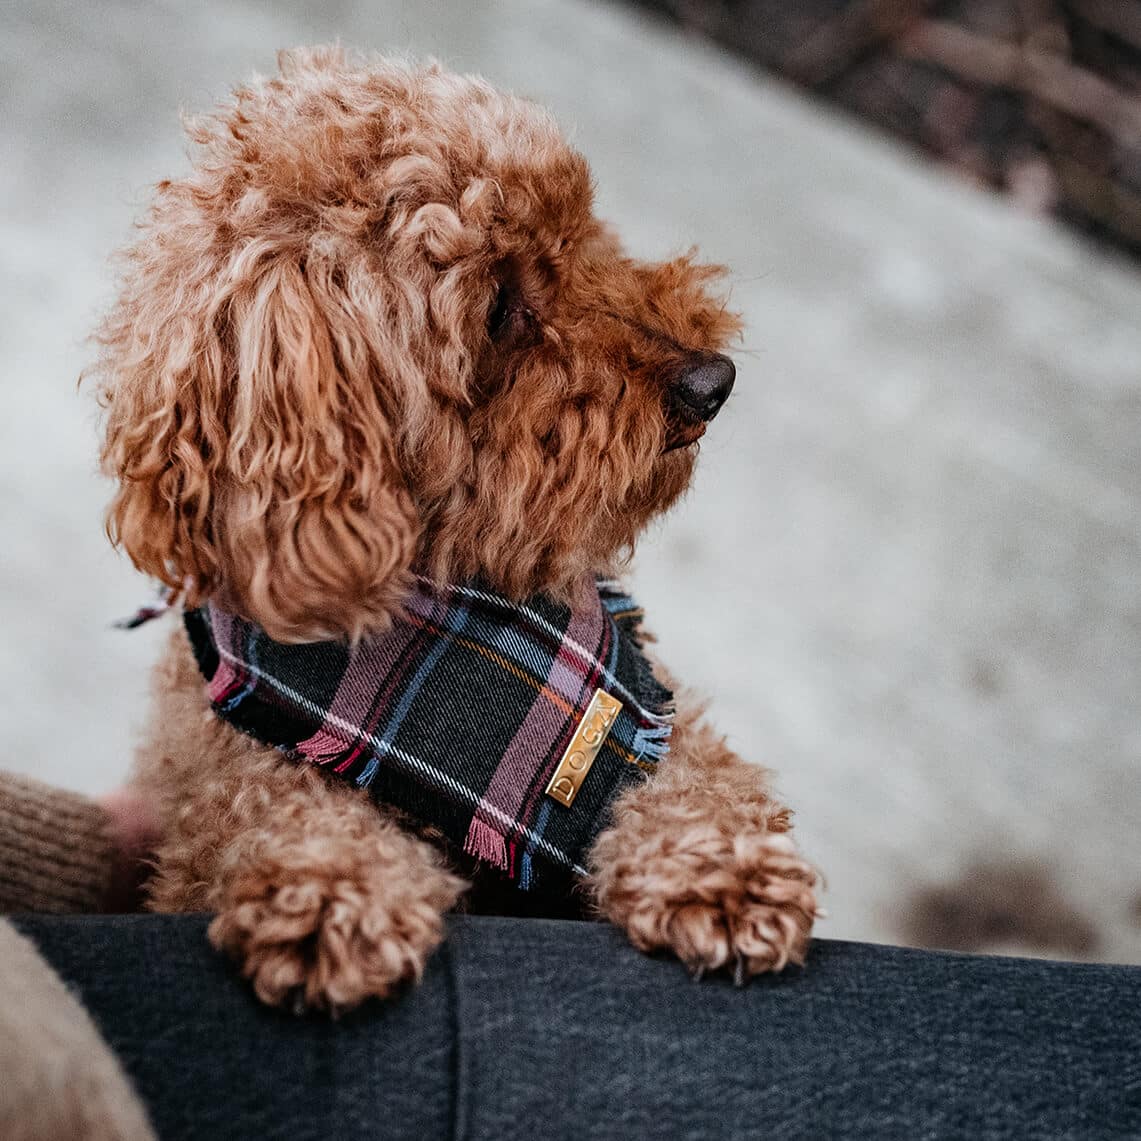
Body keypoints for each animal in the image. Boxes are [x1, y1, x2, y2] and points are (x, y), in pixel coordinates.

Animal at [91, 46, 821, 1008]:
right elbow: (255, 807)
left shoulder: (635, 707)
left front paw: (718, 865)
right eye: (499, 310)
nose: (713, 380)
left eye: (576, 233)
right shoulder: (219, 767)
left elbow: (680, 762)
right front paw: (328, 890)